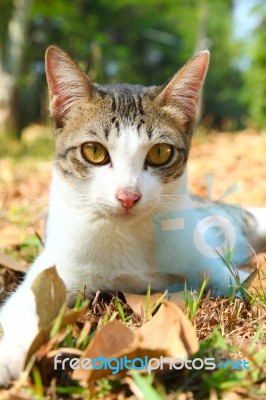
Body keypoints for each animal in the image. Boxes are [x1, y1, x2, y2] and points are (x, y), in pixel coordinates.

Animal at [0, 45, 266, 386]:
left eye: (160, 153)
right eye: (94, 151)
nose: (128, 196)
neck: (128, 235)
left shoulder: (209, 264)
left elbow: (235, 281)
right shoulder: (60, 263)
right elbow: (32, 301)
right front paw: (9, 351)